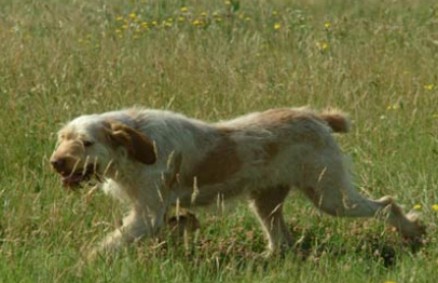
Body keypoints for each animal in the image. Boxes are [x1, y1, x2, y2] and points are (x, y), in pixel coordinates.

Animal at [50, 107, 424, 258]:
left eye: (86, 142)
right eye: (62, 138)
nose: (56, 163)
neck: (137, 145)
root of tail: (316, 116)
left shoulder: (146, 216)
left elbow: (109, 244)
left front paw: (83, 263)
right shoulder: (149, 213)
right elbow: (176, 222)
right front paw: (185, 224)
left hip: (332, 197)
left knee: (387, 204)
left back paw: (413, 231)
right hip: (266, 203)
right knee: (281, 242)